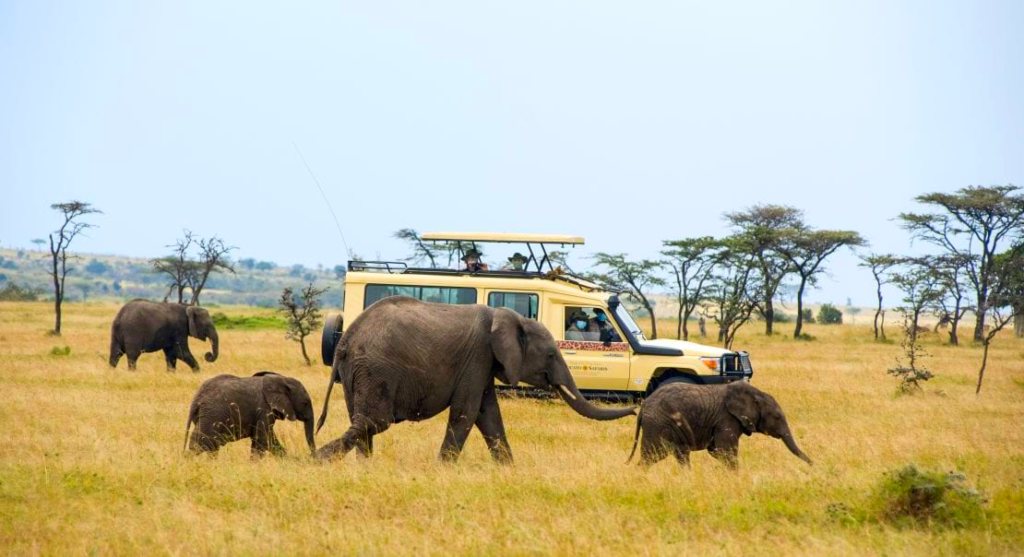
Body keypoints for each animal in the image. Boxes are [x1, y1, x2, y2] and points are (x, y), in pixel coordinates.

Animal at [181, 370, 315, 456]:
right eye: (305, 403)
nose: (311, 456)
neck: (283, 379)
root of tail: (197, 398)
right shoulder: (263, 409)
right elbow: (263, 440)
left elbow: (267, 439)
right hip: (212, 415)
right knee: (201, 443)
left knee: (207, 445)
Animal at [315, 298, 634, 462]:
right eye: (551, 355)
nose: (634, 410)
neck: (511, 317)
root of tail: (344, 340)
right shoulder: (477, 357)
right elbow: (466, 413)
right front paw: (442, 469)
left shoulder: (486, 363)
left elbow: (489, 414)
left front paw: (509, 470)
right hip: (376, 369)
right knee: (373, 421)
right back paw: (319, 459)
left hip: (357, 372)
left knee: (360, 419)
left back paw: (363, 465)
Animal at [626, 380, 811, 466]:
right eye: (777, 417)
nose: (812, 465)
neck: (756, 393)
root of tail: (643, 406)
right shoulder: (726, 419)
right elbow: (727, 451)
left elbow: (716, 451)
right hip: (658, 424)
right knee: (653, 456)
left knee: (680, 454)